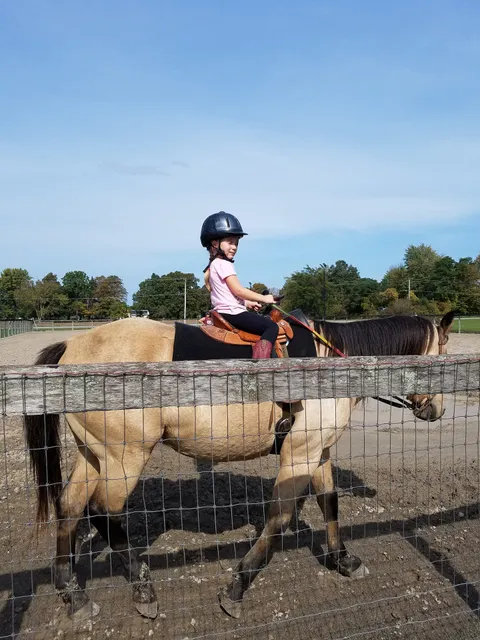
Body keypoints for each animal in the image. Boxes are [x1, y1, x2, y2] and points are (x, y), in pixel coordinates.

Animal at [24, 310, 454, 621]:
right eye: (446, 354)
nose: (436, 410)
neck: (330, 368)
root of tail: (73, 346)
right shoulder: (298, 454)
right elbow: (279, 518)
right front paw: (237, 586)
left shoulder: (318, 451)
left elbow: (329, 502)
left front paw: (344, 559)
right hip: (123, 456)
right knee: (102, 511)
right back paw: (142, 589)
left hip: (92, 454)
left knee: (69, 507)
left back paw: (73, 596)